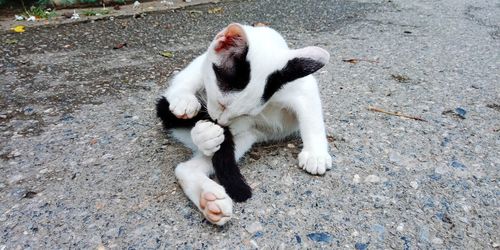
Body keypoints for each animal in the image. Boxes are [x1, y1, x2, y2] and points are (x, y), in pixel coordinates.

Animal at [156, 23, 332, 226]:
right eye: (222, 104)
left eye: (244, 113)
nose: (220, 122)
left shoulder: (300, 84)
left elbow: (312, 118)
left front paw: (316, 154)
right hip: (198, 70)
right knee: (183, 81)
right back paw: (192, 114)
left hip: (247, 137)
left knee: (189, 166)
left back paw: (209, 196)